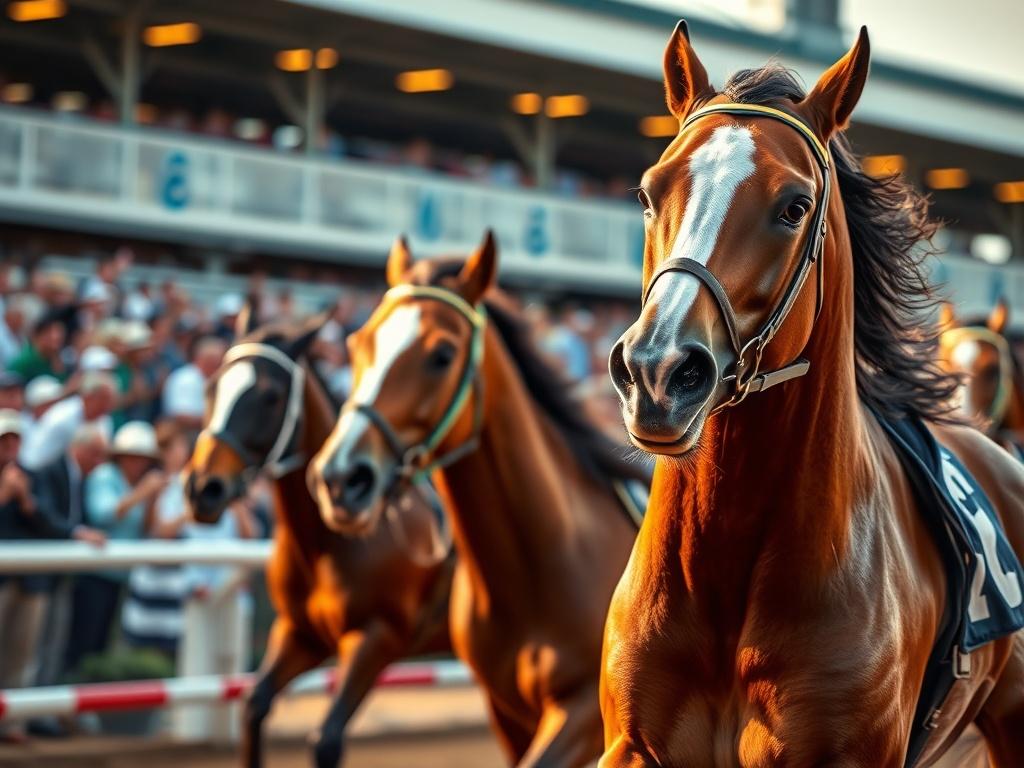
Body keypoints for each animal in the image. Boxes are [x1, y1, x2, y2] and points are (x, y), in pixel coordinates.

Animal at [182, 309, 452, 768]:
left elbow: (325, 741)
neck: (330, 542)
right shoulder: (300, 633)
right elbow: (254, 705)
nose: (203, 487)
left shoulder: (378, 638)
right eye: (211, 386)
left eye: (270, 396)